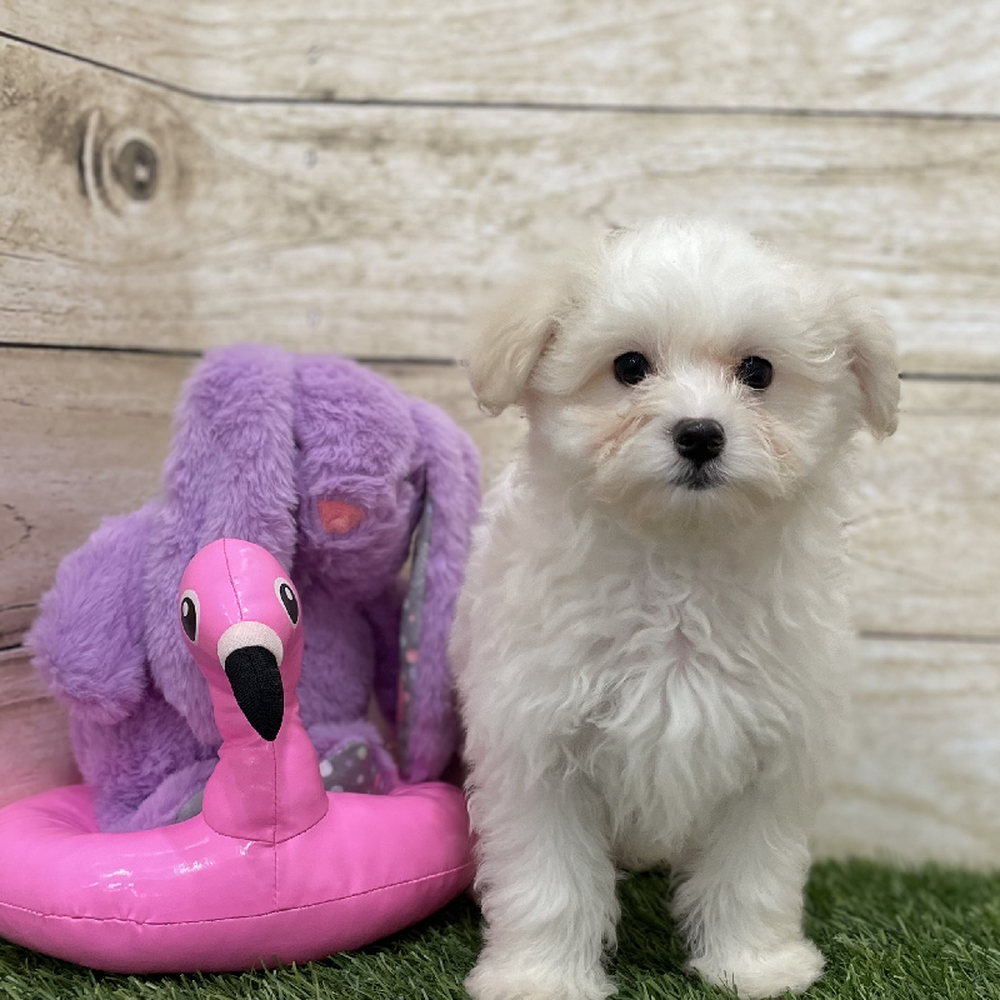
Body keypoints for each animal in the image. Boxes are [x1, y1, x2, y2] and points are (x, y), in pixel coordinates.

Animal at [454, 221, 900, 1000]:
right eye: (629, 366)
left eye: (758, 372)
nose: (700, 433)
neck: (679, 562)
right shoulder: (538, 746)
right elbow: (550, 883)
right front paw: (540, 979)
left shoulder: (771, 755)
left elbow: (752, 874)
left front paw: (756, 966)